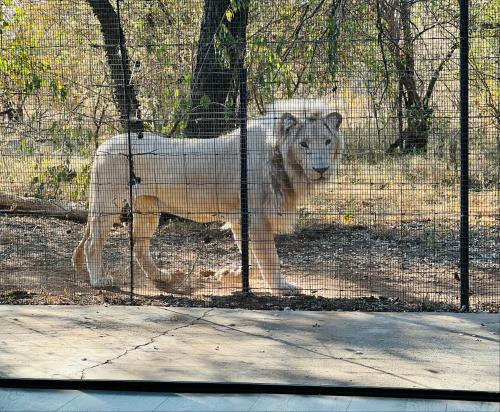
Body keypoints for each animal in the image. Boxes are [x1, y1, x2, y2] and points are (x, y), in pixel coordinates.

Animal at [71, 98, 344, 294]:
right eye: (304, 144)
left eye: (327, 141)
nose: (321, 169)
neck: (283, 162)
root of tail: (101, 146)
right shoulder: (256, 216)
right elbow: (269, 256)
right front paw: (282, 286)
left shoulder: (241, 217)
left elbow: (250, 254)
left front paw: (233, 275)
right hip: (108, 203)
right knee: (93, 243)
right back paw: (99, 280)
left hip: (148, 208)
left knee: (138, 245)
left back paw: (160, 275)